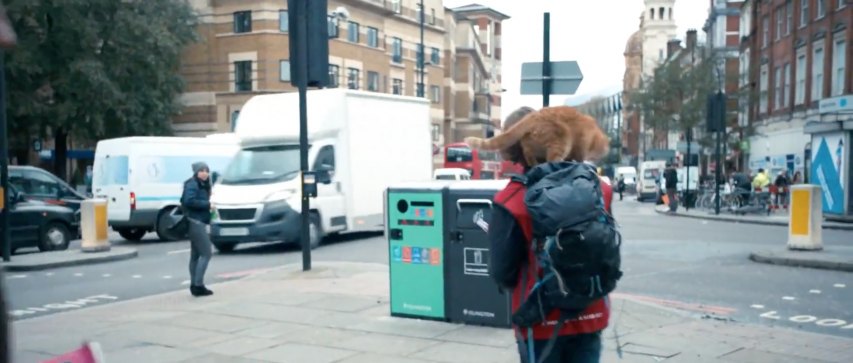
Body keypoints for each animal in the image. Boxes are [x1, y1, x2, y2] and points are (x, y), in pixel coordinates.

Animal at [466, 105, 604, 168]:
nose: (598, 158)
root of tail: (534, 116)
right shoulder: (581, 144)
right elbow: (579, 156)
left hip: (530, 142)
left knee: (528, 154)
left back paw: (534, 164)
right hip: (562, 141)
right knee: (552, 158)